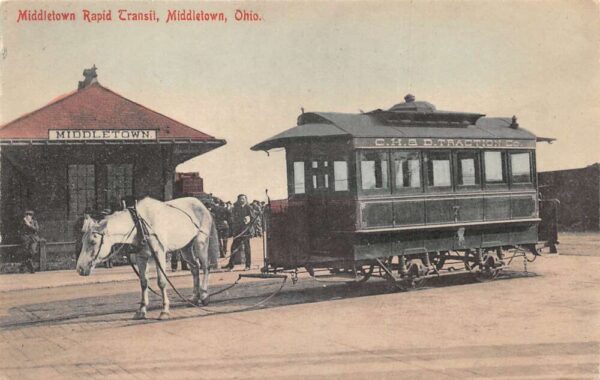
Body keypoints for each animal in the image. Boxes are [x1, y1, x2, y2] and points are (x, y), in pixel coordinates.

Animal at [76, 197, 219, 320]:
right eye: (83, 241)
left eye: (93, 242)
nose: (79, 268)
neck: (139, 224)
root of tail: (202, 205)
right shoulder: (141, 257)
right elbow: (144, 282)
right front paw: (141, 310)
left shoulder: (159, 253)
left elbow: (161, 282)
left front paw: (164, 311)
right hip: (185, 247)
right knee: (195, 268)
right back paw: (194, 298)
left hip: (201, 242)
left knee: (205, 267)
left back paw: (204, 295)